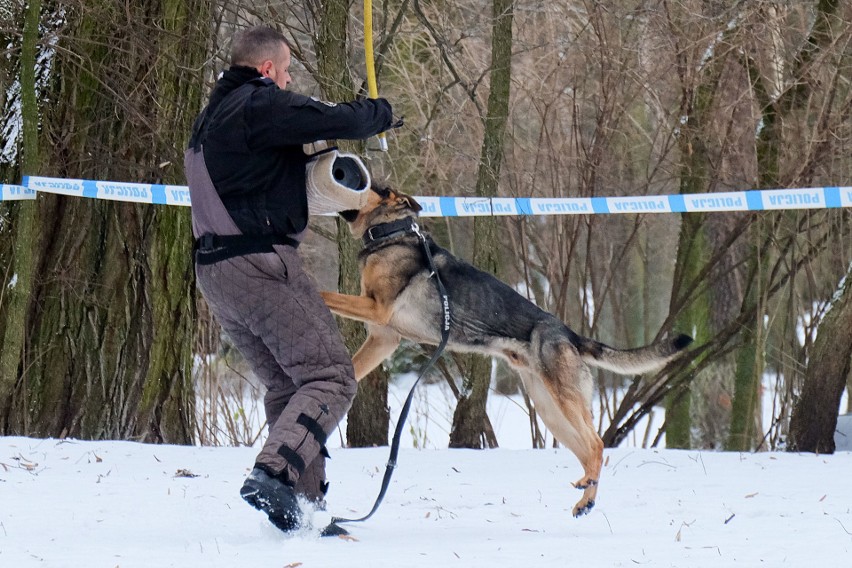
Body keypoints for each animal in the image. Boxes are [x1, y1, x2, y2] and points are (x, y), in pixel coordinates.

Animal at [322, 186, 692, 520]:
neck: (393, 233)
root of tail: (569, 333)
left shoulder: (377, 309)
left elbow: (326, 293)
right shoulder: (383, 337)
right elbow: (353, 366)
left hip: (563, 402)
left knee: (597, 445)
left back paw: (587, 488)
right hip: (551, 411)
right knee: (589, 449)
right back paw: (585, 500)